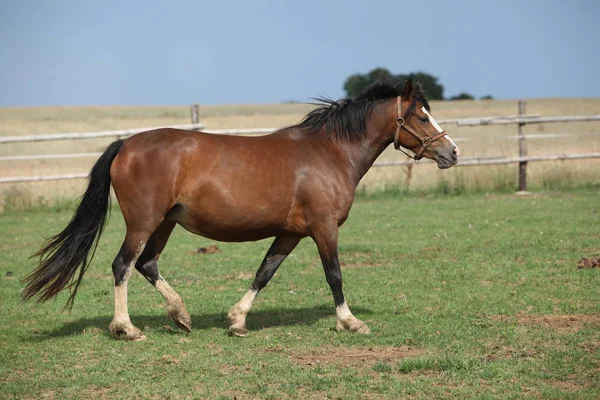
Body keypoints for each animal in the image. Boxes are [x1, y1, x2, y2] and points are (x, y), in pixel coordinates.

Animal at [19, 79, 460, 340]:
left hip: (164, 224)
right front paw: (350, 321)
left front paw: (237, 321)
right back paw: (127, 328)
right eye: (422, 116)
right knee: (123, 265)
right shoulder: (324, 228)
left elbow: (264, 273)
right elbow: (334, 275)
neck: (330, 153)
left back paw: (181, 315)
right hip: (143, 223)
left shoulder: (290, 232)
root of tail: (126, 144)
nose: (452, 152)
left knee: (147, 264)